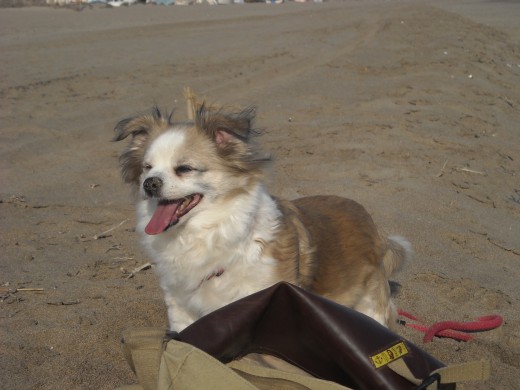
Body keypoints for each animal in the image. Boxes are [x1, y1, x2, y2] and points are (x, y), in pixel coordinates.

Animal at [112, 100, 410, 332]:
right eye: (147, 167)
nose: (150, 183)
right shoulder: (181, 306)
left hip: (370, 306)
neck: (204, 233)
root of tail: (371, 223)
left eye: (184, 169)